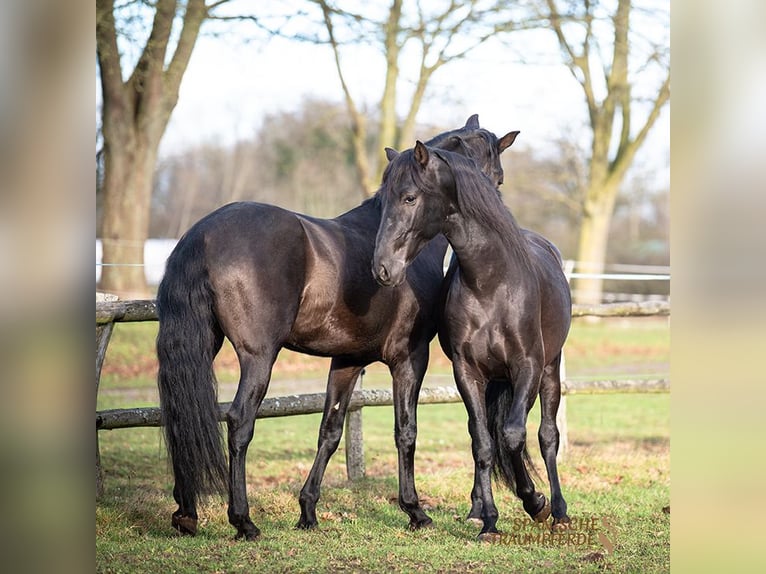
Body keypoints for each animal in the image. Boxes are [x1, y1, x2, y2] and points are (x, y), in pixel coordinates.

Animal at [154, 116, 520, 540]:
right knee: (239, 422)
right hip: (259, 357)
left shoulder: (347, 360)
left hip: (203, 345)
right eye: (497, 177)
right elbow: (406, 431)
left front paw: (308, 510)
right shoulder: (410, 358)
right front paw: (415, 511)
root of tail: (202, 234)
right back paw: (243, 520)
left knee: (182, 418)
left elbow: (329, 432)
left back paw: (186, 513)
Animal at [376, 141, 572, 540]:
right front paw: (490, 521)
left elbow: (514, 436)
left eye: (409, 197)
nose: (382, 267)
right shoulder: (468, 372)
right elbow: (483, 443)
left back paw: (559, 510)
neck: (491, 282)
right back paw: (479, 510)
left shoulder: (527, 367)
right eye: (382, 199)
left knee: (547, 436)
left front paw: (535, 502)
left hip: (549, 371)